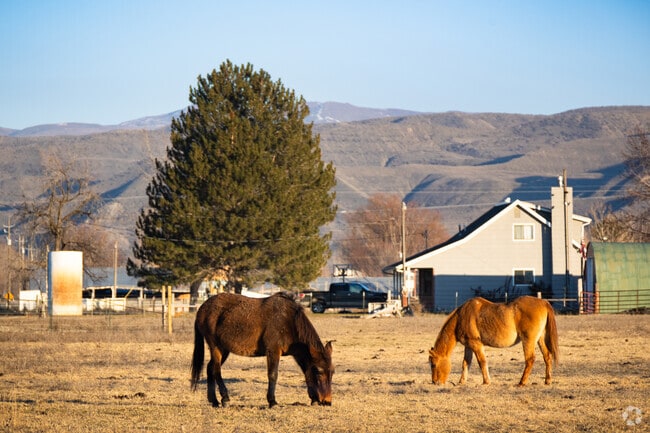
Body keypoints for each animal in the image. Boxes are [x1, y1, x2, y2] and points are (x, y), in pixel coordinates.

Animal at [191, 292, 334, 407]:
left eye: (332, 372)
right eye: (319, 372)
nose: (327, 401)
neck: (288, 321)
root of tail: (202, 309)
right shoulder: (273, 351)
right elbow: (273, 375)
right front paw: (272, 401)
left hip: (224, 349)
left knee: (210, 368)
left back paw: (214, 401)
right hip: (215, 346)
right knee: (216, 370)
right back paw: (225, 398)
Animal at [428, 296, 559, 386]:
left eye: (433, 364)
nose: (434, 382)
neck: (461, 317)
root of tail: (544, 302)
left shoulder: (476, 344)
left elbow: (482, 362)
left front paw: (486, 381)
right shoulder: (468, 346)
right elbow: (465, 363)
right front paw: (462, 382)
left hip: (528, 341)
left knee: (530, 359)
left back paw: (521, 382)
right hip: (540, 339)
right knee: (547, 356)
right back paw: (547, 381)